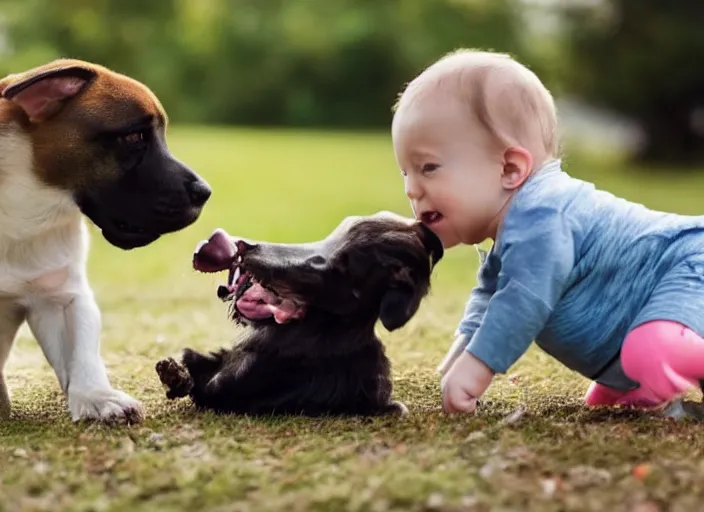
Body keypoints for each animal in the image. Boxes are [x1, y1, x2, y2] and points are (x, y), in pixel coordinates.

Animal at [0, 60, 210, 422]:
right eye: (133, 136)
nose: (205, 192)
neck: (27, 209)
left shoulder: (62, 297)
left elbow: (82, 353)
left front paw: (96, 397)